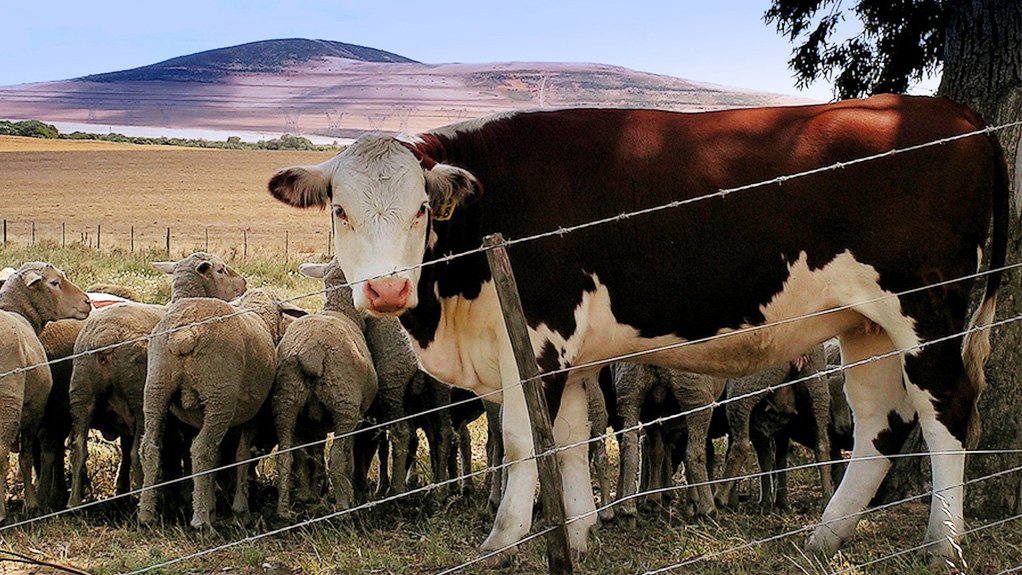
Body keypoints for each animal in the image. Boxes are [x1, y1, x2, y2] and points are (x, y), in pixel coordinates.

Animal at [0, 263, 90, 522]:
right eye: (54, 283)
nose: (88, 301)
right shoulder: (35, 409)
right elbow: (27, 456)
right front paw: (33, 503)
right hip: (8, 403)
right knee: (1, 454)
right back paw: (1, 513)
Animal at [68, 254, 247, 506]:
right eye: (221, 270)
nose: (244, 283)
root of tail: (106, 338)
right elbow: (180, 450)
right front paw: (182, 491)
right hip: (137, 397)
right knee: (136, 451)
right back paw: (139, 497)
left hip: (81, 393)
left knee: (79, 449)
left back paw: (74, 502)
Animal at [273, 261, 378, 516]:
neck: (343, 311)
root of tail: (311, 351)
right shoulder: (357, 414)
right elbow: (344, 455)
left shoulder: (313, 423)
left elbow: (312, 455)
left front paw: (308, 494)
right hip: (344, 402)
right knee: (338, 458)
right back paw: (344, 507)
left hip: (286, 400)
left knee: (285, 456)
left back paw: (284, 510)